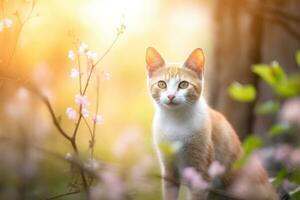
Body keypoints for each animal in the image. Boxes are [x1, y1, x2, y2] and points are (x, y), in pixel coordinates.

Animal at [146, 47, 278, 200]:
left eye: (183, 84)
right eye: (162, 84)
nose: (171, 96)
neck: (175, 120)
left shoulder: (201, 172)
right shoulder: (169, 171)